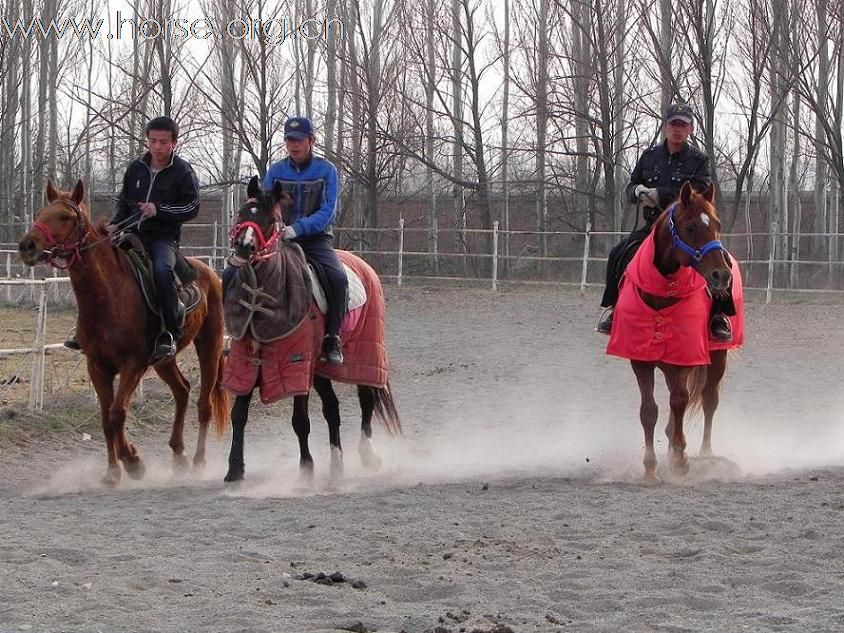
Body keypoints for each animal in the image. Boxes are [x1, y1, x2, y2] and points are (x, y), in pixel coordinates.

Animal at [19, 180, 231, 486]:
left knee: (204, 404)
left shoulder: (133, 365)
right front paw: (112, 472)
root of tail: (211, 273)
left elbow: (117, 413)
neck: (107, 295)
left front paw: (133, 462)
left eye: (65, 216)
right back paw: (178, 456)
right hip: (165, 360)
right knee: (182, 390)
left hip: (210, 346)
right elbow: (106, 419)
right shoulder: (97, 367)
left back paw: (198, 462)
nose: (27, 245)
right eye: (40, 213)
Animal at [221, 175, 398, 482]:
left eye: (271, 219)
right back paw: (337, 464)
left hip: (365, 357)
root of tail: (365, 266)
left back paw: (367, 455)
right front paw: (234, 470)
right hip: (319, 368)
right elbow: (238, 414)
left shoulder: (297, 362)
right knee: (332, 408)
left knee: (366, 400)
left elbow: (300, 420)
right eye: (242, 212)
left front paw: (306, 468)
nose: (244, 246)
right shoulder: (245, 360)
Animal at [608, 181, 740, 478]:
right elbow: (649, 410)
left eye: (717, 224)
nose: (722, 275)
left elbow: (680, 401)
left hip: (718, 356)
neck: (661, 294)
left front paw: (680, 459)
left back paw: (705, 453)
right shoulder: (640, 360)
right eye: (690, 227)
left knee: (708, 400)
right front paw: (650, 467)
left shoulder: (683, 359)